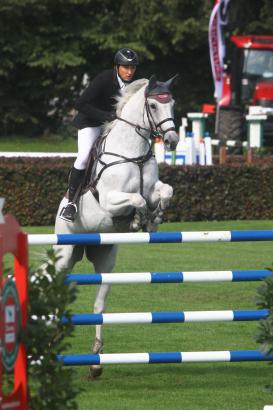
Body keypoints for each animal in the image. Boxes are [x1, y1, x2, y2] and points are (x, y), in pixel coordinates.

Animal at [53, 74, 178, 378]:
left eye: (172, 104)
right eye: (154, 106)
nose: (171, 140)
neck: (132, 152)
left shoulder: (154, 188)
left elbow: (164, 192)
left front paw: (154, 221)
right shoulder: (111, 200)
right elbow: (137, 200)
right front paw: (137, 220)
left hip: (105, 259)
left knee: (99, 304)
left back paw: (96, 360)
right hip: (64, 254)